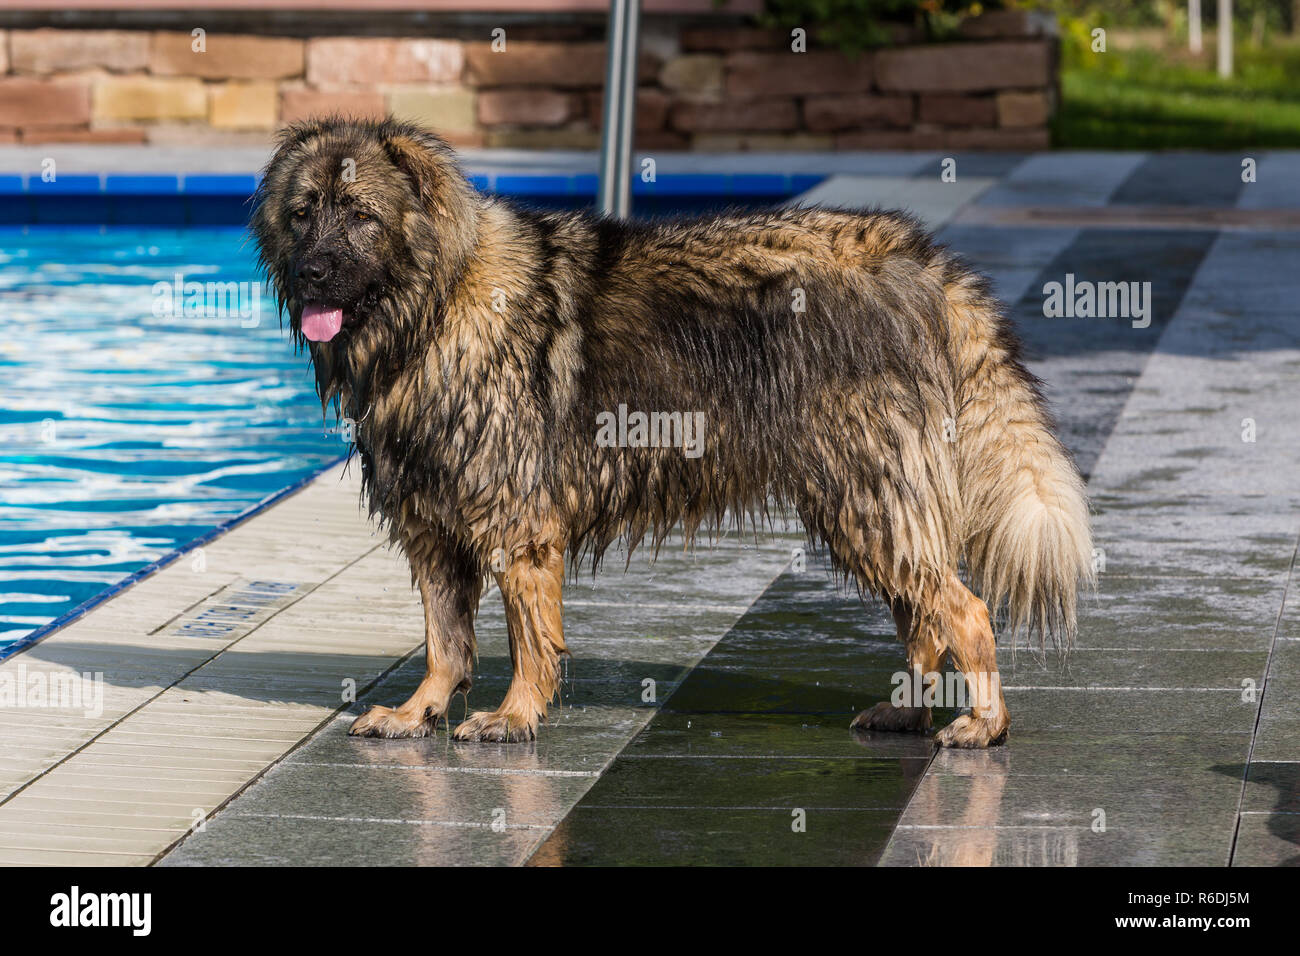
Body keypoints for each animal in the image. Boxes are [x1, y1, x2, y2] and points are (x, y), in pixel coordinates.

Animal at [248, 117, 1092, 749]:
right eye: (303, 213)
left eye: (362, 215)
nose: (313, 272)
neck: (434, 306)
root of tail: (914, 257)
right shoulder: (432, 526)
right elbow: (445, 640)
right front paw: (422, 709)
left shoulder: (517, 524)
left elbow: (527, 638)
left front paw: (516, 714)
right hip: (866, 502)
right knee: (921, 612)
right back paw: (909, 711)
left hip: (866, 493)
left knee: (962, 610)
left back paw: (984, 723)